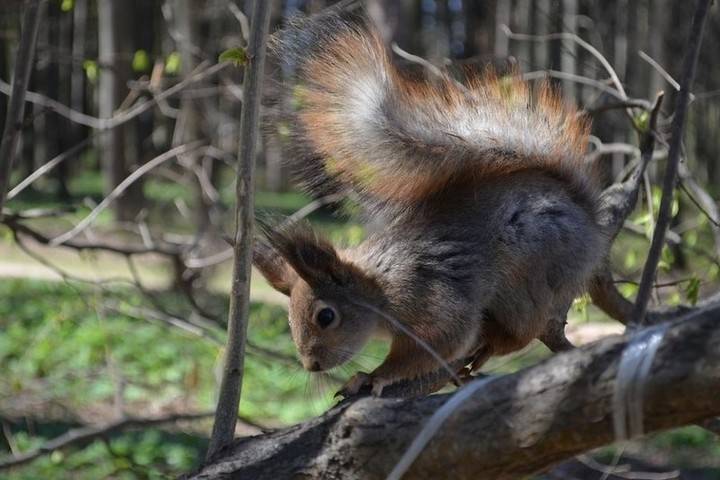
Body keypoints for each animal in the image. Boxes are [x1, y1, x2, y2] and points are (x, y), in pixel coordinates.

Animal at [252, 10, 608, 398]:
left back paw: (490, 345)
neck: (379, 286)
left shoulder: (428, 298)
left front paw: (374, 376)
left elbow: (443, 339)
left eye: (326, 316)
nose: (311, 365)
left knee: (521, 332)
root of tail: (588, 219)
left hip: (530, 272)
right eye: (289, 318)